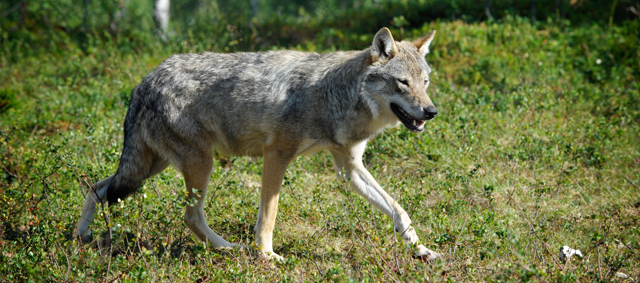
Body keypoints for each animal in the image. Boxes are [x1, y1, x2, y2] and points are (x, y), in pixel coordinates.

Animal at [76, 27, 440, 262]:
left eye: (424, 82)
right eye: (402, 83)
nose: (431, 111)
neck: (332, 94)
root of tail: (144, 81)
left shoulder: (349, 167)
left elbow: (399, 211)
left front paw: (421, 249)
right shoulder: (276, 155)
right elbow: (268, 215)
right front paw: (267, 255)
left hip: (152, 167)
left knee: (96, 188)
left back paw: (81, 239)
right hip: (196, 165)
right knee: (190, 216)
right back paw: (229, 250)